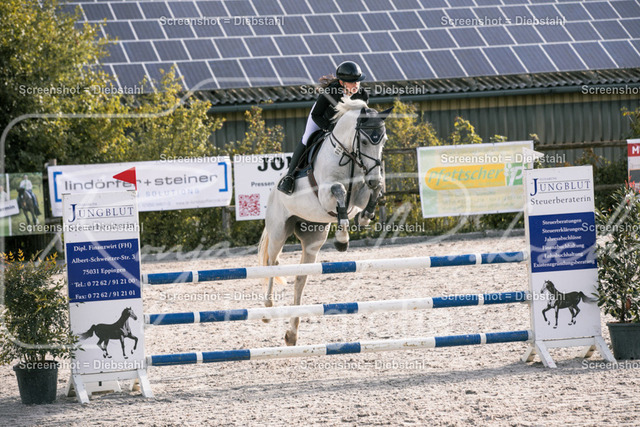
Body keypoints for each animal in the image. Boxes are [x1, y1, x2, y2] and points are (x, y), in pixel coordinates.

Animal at [258, 97, 393, 346]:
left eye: (383, 140)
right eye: (363, 140)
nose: (372, 177)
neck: (350, 158)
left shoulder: (358, 197)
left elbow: (373, 192)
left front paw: (366, 216)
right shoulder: (325, 194)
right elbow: (339, 190)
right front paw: (342, 238)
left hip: (313, 238)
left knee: (300, 278)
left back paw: (292, 334)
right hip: (279, 230)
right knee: (271, 263)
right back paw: (267, 310)